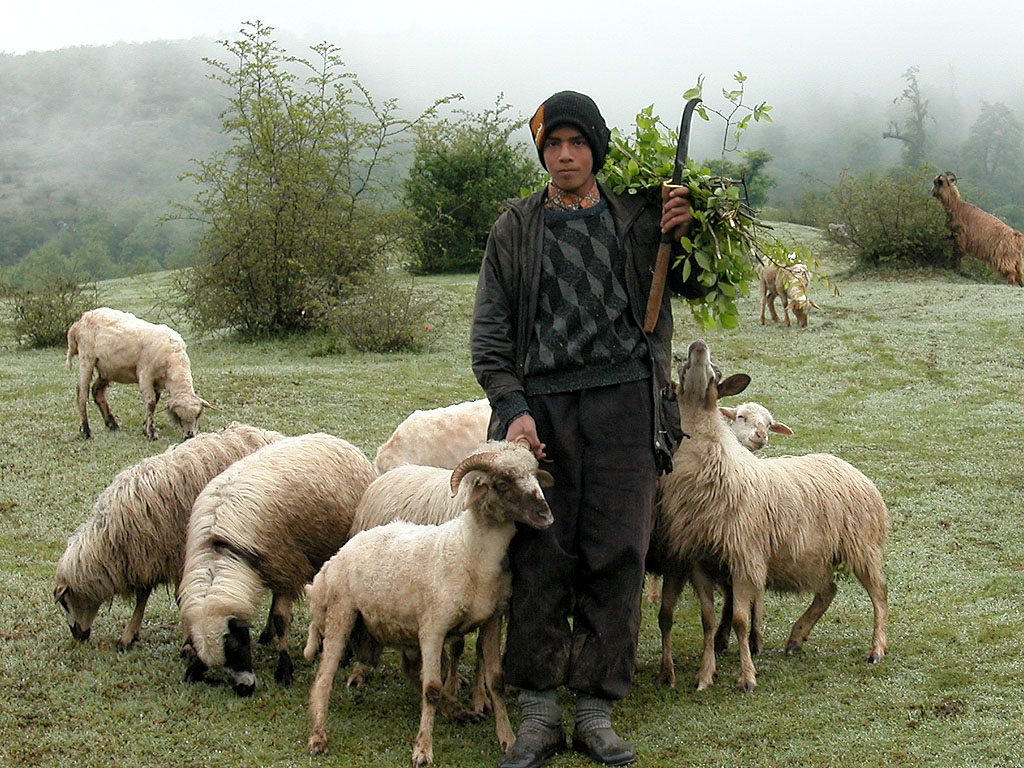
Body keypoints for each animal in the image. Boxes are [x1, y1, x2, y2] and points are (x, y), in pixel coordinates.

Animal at [52, 423, 284, 651]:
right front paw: (129, 635)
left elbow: (181, 597)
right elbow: (142, 597)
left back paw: (267, 632)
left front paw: (188, 642)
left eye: (65, 602)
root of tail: (274, 436)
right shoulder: (147, 557)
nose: (78, 636)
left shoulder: (174, 555)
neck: (109, 538)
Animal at [66, 305, 214, 438]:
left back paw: (112, 424)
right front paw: (151, 433)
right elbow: (151, 403)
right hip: (87, 359)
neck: (174, 359)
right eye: (177, 416)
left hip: (107, 368)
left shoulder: (157, 382)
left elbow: (154, 402)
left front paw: (145, 427)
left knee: (97, 391)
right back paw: (85, 431)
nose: (189, 436)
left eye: (198, 415)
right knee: (82, 394)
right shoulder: (145, 375)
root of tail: (82, 319)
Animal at [178, 434, 378, 696]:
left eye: (237, 646)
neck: (219, 547)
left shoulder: (286, 567)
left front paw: (284, 670)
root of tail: (335, 439)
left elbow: (282, 620)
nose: (244, 688)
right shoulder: (275, 566)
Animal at [305, 442, 552, 765]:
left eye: (534, 475)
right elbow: (431, 688)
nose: (545, 514)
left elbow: (495, 680)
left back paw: (458, 711)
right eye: (502, 483)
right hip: (341, 614)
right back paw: (318, 736)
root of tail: (333, 561)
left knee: (410, 672)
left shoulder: (491, 620)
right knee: (324, 677)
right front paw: (422, 749)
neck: (469, 550)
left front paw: (508, 739)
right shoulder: (433, 628)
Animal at [655, 339, 888, 696]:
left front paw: (747, 677)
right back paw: (796, 638)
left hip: (862, 546)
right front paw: (705, 675)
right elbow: (708, 620)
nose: (698, 345)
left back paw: (876, 649)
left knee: (879, 594)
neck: (716, 460)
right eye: (681, 370)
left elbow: (740, 620)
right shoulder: (699, 561)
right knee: (828, 591)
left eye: (715, 373)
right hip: (816, 556)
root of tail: (849, 467)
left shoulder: (745, 558)